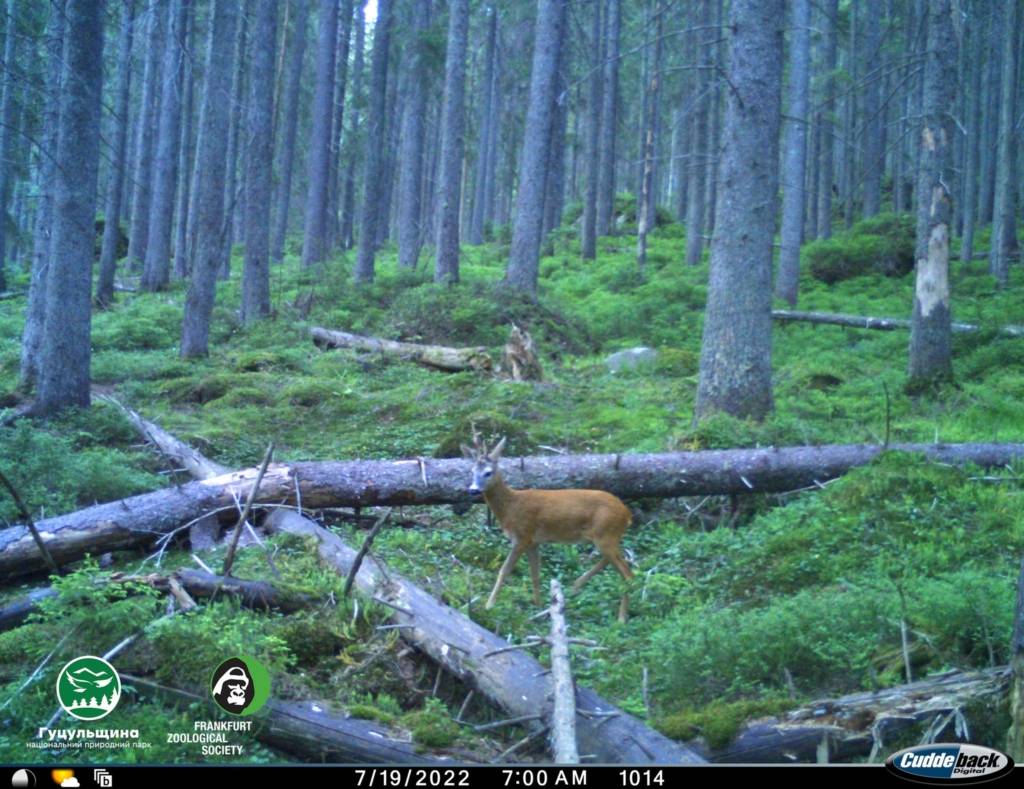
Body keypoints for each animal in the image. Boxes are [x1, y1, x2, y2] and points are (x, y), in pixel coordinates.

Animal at [464, 435, 630, 622]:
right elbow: (535, 573)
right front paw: (538, 606)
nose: (472, 490)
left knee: (628, 573)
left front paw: (489, 605)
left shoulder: (522, 536)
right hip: (605, 537)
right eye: (472, 471)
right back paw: (575, 585)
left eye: (488, 472)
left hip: (606, 534)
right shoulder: (533, 542)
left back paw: (621, 618)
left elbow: (504, 570)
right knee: (616, 559)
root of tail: (627, 514)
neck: (511, 507)